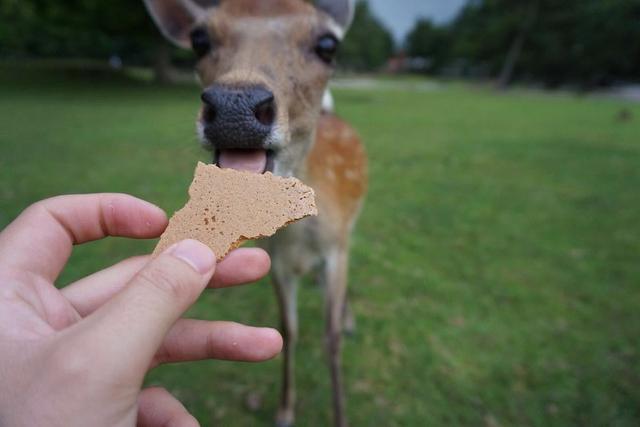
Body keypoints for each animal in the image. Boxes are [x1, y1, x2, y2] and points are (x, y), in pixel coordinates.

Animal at [142, 1, 368, 426]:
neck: (298, 240)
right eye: (199, 39)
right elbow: (287, 330)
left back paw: (349, 319)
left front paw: (340, 414)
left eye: (327, 44)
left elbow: (329, 338)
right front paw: (284, 410)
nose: (235, 107)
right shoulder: (275, 261)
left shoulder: (336, 247)